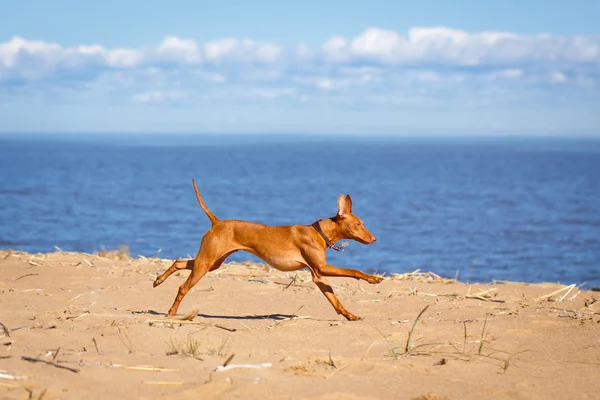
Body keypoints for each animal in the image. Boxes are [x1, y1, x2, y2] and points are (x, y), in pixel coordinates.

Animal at [152, 180, 382, 320]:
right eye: (359, 224)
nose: (374, 238)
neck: (319, 232)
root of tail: (217, 222)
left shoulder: (318, 275)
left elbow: (335, 300)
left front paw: (350, 315)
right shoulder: (322, 268)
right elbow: (354, 271)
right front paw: (373, 278)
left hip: (212, 263)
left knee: (179, 262)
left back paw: (158, 280)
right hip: (205, 263)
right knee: (183, 287)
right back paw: (171, 312)